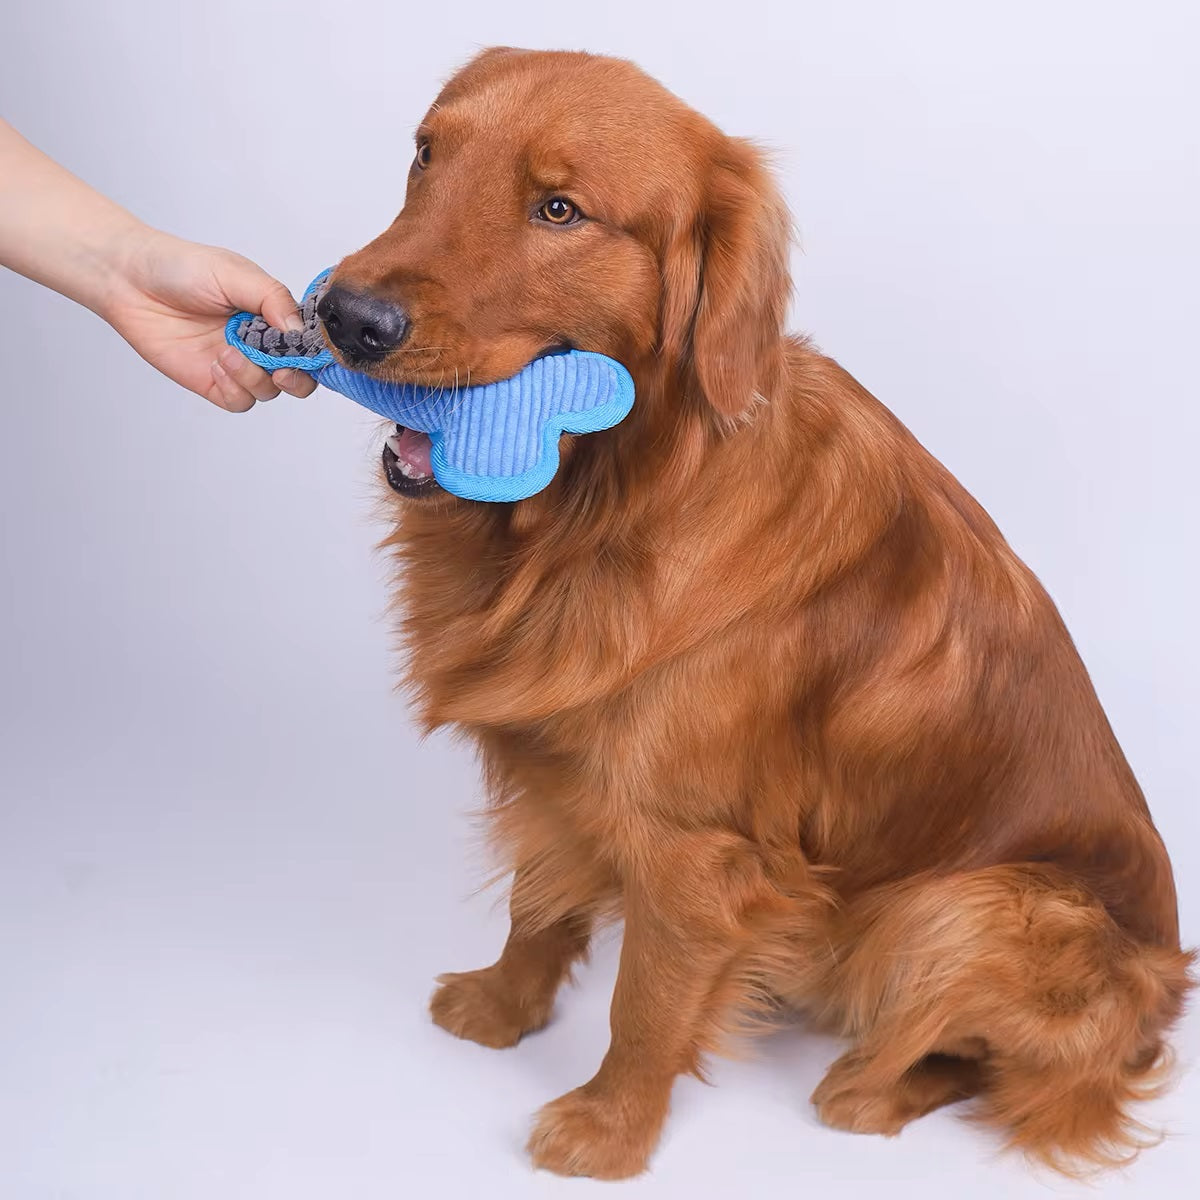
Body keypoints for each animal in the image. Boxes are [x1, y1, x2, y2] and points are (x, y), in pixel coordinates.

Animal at [316, 49, 1190, 1180]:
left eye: (559, 209)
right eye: (427, 154)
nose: (348, 317)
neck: (608, 507)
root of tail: (1159, 1011)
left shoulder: (698, 847)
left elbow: (647, 1003)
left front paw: (607, 1131)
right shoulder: (566, 773)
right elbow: (538, 903)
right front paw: (503, 1010)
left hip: (970, 905)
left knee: (990, 1067)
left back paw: (863, 1090)